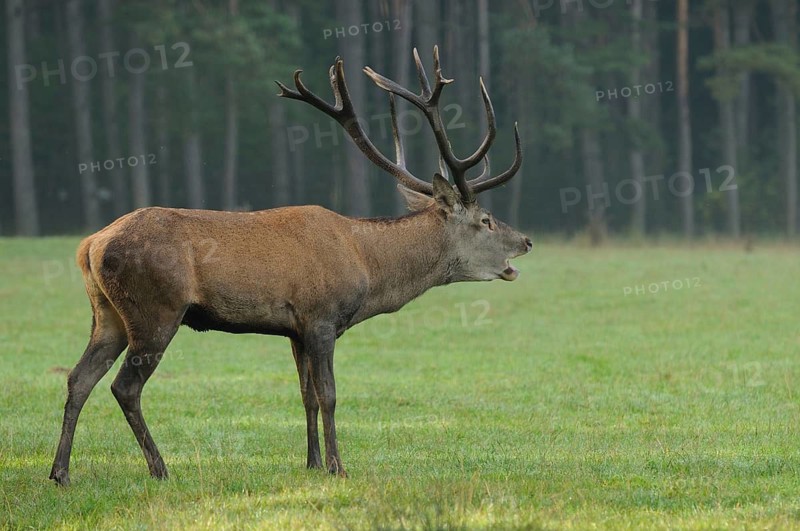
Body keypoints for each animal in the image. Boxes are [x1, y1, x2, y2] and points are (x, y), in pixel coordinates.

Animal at [49, 46, 532, 486]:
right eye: (486, 220)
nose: (526, 241)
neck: (367, 265)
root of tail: (90, 245)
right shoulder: (320, 316)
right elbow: (330, 394)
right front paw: (338, 467)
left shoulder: (294, 329)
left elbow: (307, 397)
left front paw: (312, 463)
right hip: (156, 309)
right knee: (124, 386)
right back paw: (159, 468)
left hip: (107, 313)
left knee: (79, 378)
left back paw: (60, 472)